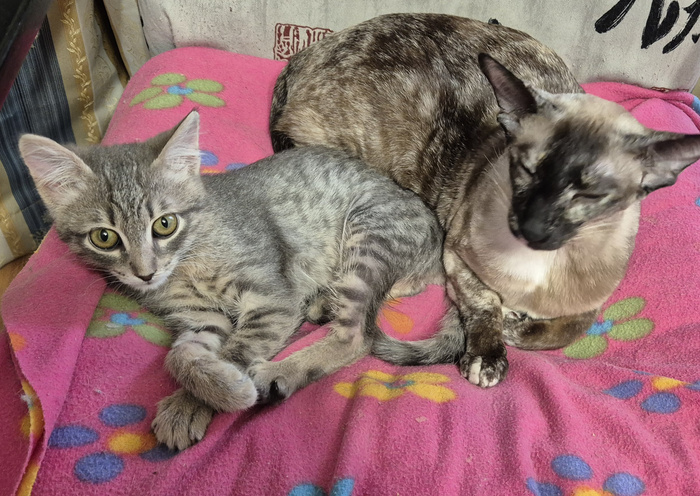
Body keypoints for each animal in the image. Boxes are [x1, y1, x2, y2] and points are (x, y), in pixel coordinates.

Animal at [18, 111, 458, 450]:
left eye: (164, 224)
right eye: (104, 238)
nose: (145, 272)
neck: (186, 262)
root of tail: (437, 233)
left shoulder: (271, 298)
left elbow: (234, 349)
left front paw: (209, 398)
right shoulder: (201, 318)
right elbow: (182, 354)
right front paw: (192, 394)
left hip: (370, 235)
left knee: (358, 335)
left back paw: (281, 372)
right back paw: (320, 303)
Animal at [269, 13, 700, 388]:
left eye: (591, 193)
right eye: (524, 170)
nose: (532, 226)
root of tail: (308, 52)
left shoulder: (592, 299)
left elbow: (568, 331)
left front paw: (519, 328)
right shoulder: (457, 256)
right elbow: (483, 305)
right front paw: (488, 353)